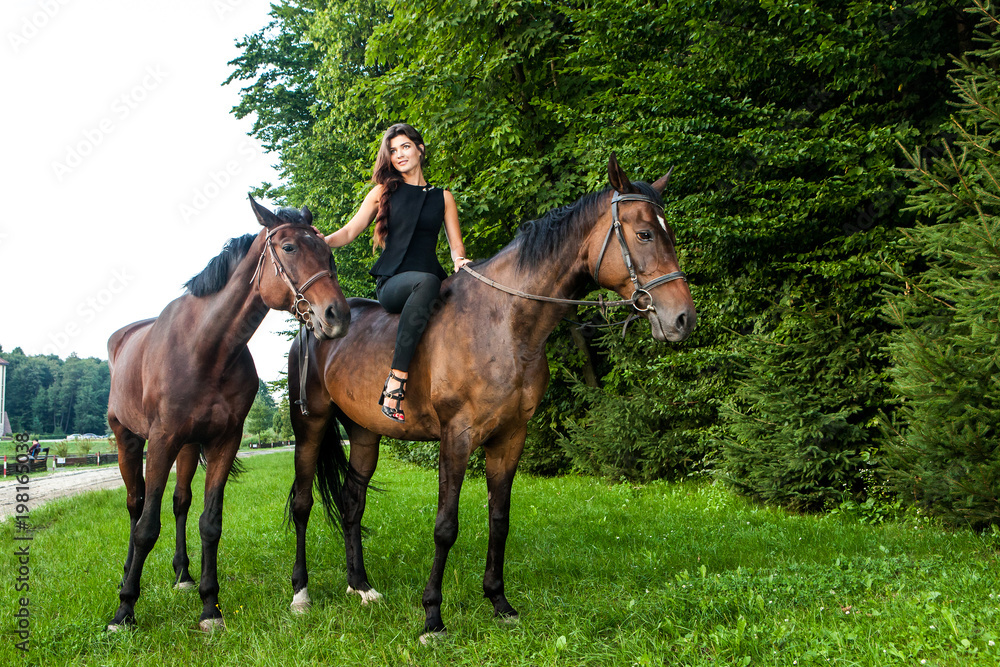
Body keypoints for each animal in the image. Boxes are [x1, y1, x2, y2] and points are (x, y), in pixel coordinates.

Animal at [107, 197, 350, 632]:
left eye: (327, 251)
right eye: (289, 247)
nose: (336, 315)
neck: (206, 347)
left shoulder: (224, 441)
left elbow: (210, 522)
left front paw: (209, 607)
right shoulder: (162, 440)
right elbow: (147, 528)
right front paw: (124, 610)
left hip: (188, 447)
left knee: (180, 502)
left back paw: (183, 575)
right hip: (128, 441)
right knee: (136, 508)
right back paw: (126, 577)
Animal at [290, 154, 696, 640]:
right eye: (645, 234)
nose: (682, 318)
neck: (505, 323)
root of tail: (315, 321)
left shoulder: (510, 437)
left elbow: (499, 520)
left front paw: (499, 602)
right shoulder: (457, 437)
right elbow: (446, 526)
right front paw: (432, 617)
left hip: (365, 434)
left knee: (353, 503)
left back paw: (360, 586)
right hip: (310, 426)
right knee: (301, 502)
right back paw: (301, 594)